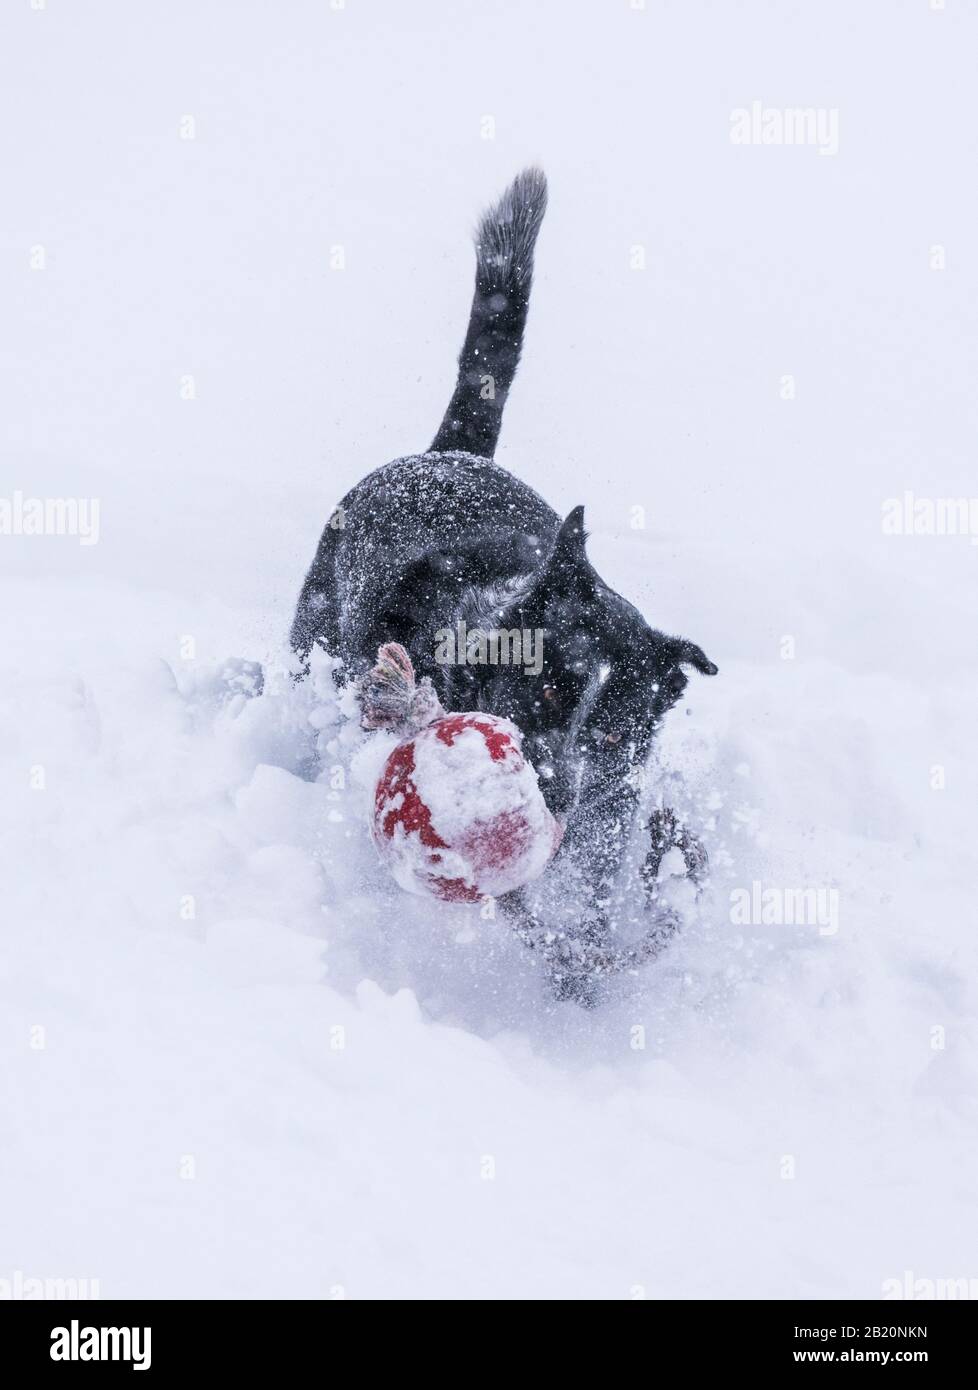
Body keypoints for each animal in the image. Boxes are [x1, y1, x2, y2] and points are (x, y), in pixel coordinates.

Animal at [290, 170, 716, 1000]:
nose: (553, 794)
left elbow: (603, 892)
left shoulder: (610, 811)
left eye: (615, 735)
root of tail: (450, 452)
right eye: (544, 689)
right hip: (313, 634)